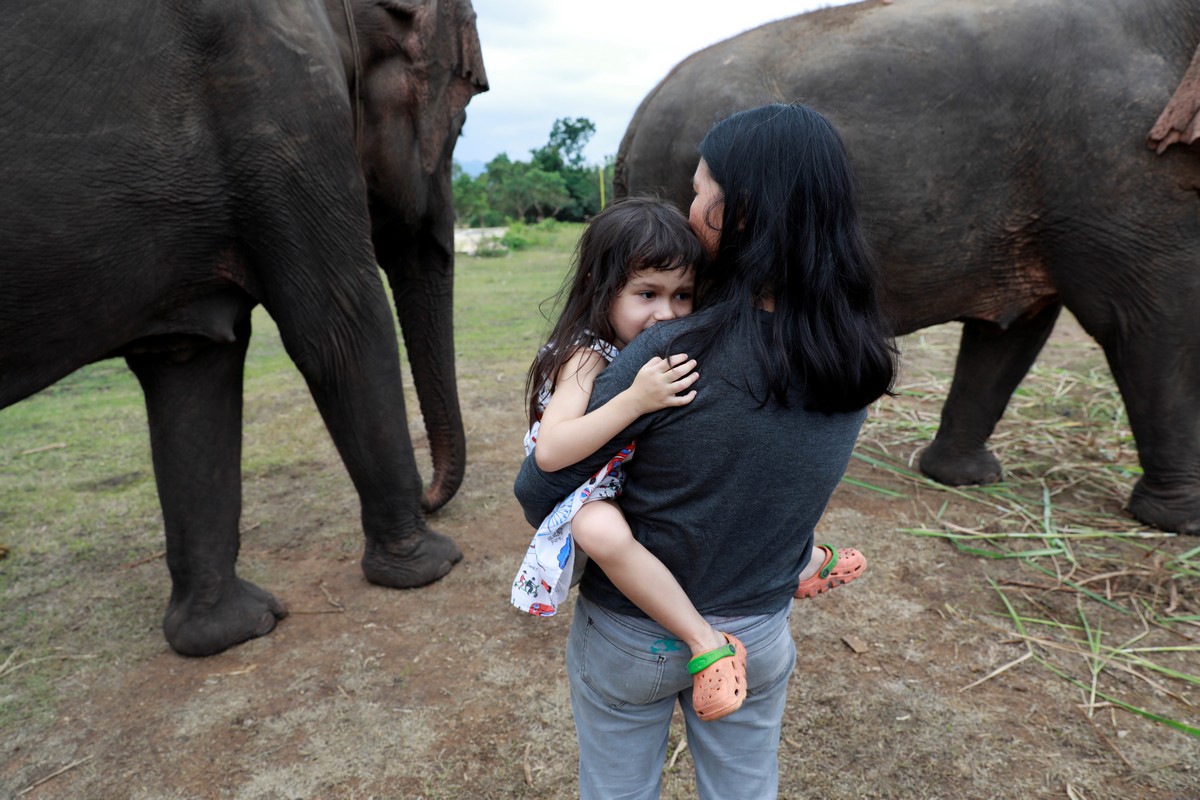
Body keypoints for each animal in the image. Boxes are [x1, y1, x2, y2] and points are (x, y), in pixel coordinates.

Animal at [1, 0, 487, 652]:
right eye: (459, 125)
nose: (431, 498)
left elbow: (192, 363)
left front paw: (231, 632)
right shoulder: (282, 104)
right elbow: (343, 324)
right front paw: (433, 564)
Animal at [619, 0, 1200, 537]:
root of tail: (642, 109)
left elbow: (1016, 329)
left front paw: (963, 479)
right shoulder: (1118, 153)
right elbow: (1148, 319)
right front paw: (1183, 522)